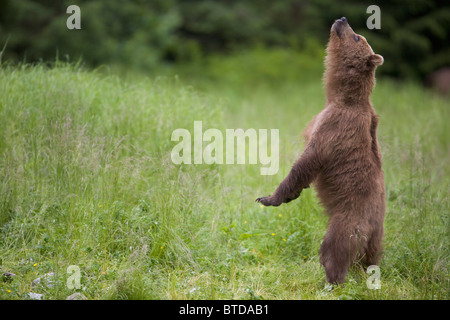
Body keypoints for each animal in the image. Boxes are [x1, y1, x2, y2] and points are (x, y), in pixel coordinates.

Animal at [258, 16, 384, 284]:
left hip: (348, 218)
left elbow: (306, 162)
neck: (341, 96)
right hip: (377, 237)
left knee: (334, 247)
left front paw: (270, 198)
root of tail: (373, 225)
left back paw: (331, 280)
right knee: (370, 258)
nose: (342, 19)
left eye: (357, 36)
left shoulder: (334, 127)